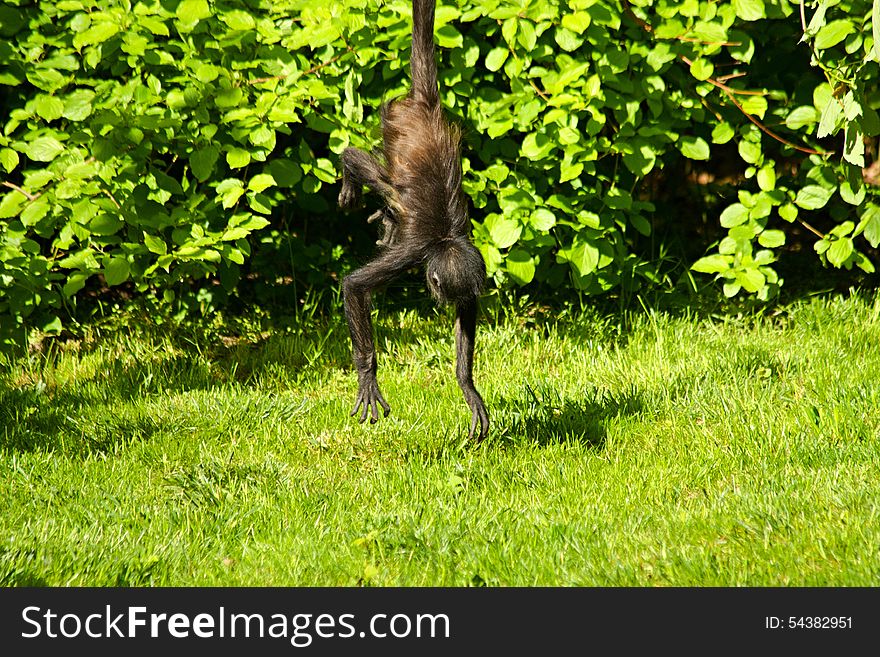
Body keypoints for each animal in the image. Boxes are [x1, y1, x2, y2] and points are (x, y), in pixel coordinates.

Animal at [336, 0, 492, 444]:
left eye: (451, 296)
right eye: (439, 289)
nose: (442, 301)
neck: (444, 239)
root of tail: (425, 105)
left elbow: (468, 314)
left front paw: (467, 386)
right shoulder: (414, 252)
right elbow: (354, 286)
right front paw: (368, 378)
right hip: (393, 122)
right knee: (379, 176)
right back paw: (352, 169)